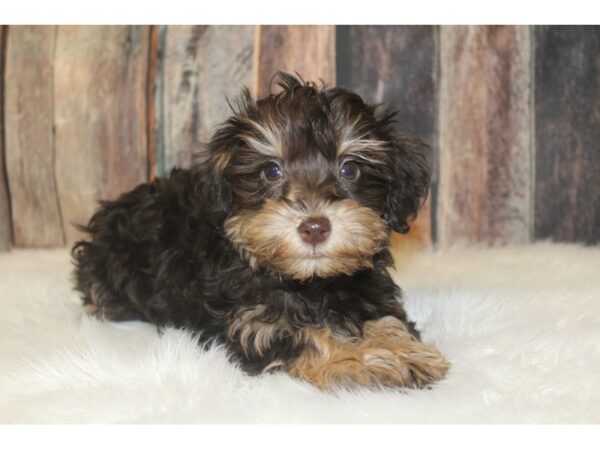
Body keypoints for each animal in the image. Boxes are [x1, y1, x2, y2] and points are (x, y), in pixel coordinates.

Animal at [71, 72, 450, 388]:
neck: (312, 284)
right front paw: (369, 360)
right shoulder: (253, 327)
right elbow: (310, 338)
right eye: (271, 171)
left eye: (350, 169)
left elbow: (385, 320)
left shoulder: (369, 294)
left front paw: (404, 350)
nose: (315, 227)